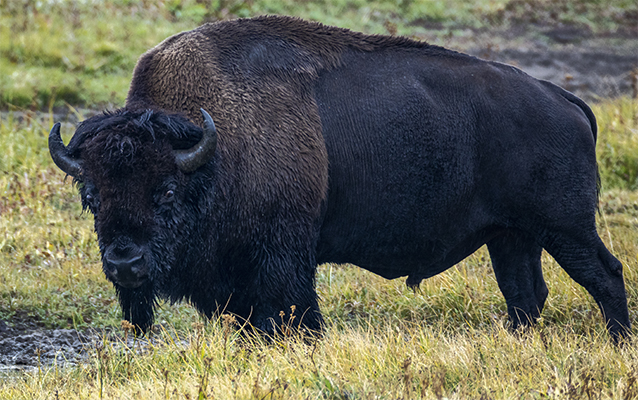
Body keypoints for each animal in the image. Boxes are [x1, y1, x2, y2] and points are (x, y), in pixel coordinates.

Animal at [48, 16, 632, 340]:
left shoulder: (281, 258)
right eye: (92, 196)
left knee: (605, 275)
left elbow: (292, 315)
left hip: (566, 228)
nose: (125, 263)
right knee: (525, 295)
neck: (212, 152)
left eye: (166, 191)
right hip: (512, 236)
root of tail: (565, 99)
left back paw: (618, 343)